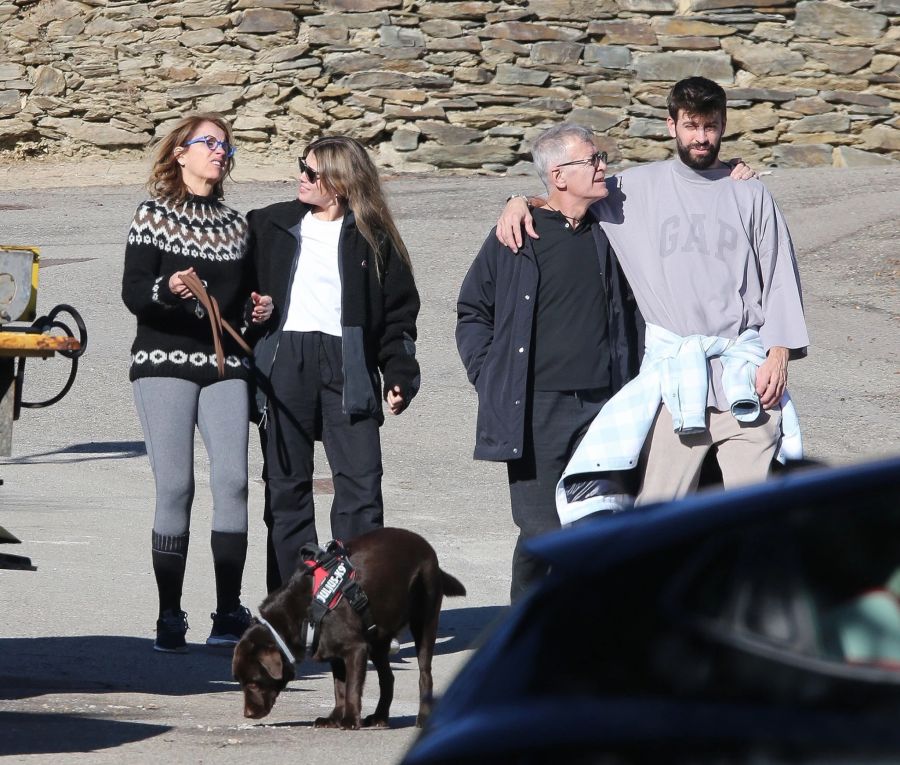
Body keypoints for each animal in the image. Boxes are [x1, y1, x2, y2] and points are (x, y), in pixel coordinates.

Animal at [232, 524, 468, 728]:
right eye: (240, 683)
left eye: (253, 683)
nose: (247, 714)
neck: (304, 612)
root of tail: (428, 548)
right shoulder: (334, 653)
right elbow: (340, 688)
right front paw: (335, 717)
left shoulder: (356, 649)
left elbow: (352, 686)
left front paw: (350, 719)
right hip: (377, 637)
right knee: (388, 678)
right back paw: (380, 716)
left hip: (424, 621)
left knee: (424, 675)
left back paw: (423, 718)